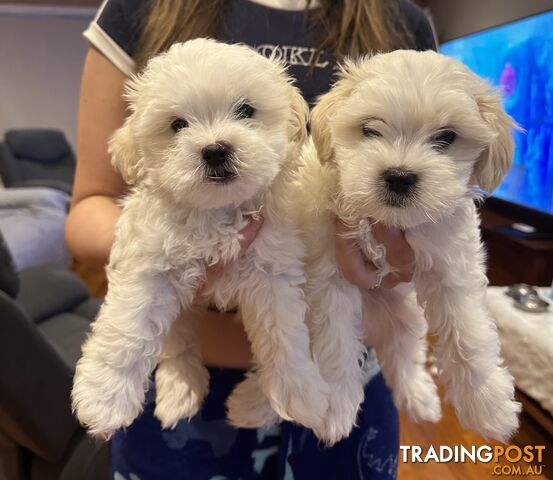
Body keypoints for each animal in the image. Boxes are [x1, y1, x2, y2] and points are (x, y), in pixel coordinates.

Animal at [70, 38, 328, 438]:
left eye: (245, 110)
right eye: (177, 125)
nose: (216, 150)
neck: (216, 214)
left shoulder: (273, 273)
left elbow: (286, 335)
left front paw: (301, 392)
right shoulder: (149, 265)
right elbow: (129, 329)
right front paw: (104, 397)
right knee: (177, 340)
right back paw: (180, 387)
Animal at [296, 50, 520, 444]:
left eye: (446, 137)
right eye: (370, 128)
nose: (399, 177)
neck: (384, 220)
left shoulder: (451, 262)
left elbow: (467, 331)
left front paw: (487, 404)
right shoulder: (327, 271)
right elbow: (335, 338)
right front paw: (335, 406)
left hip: (404, 314)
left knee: (404, 353)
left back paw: (419, 397)